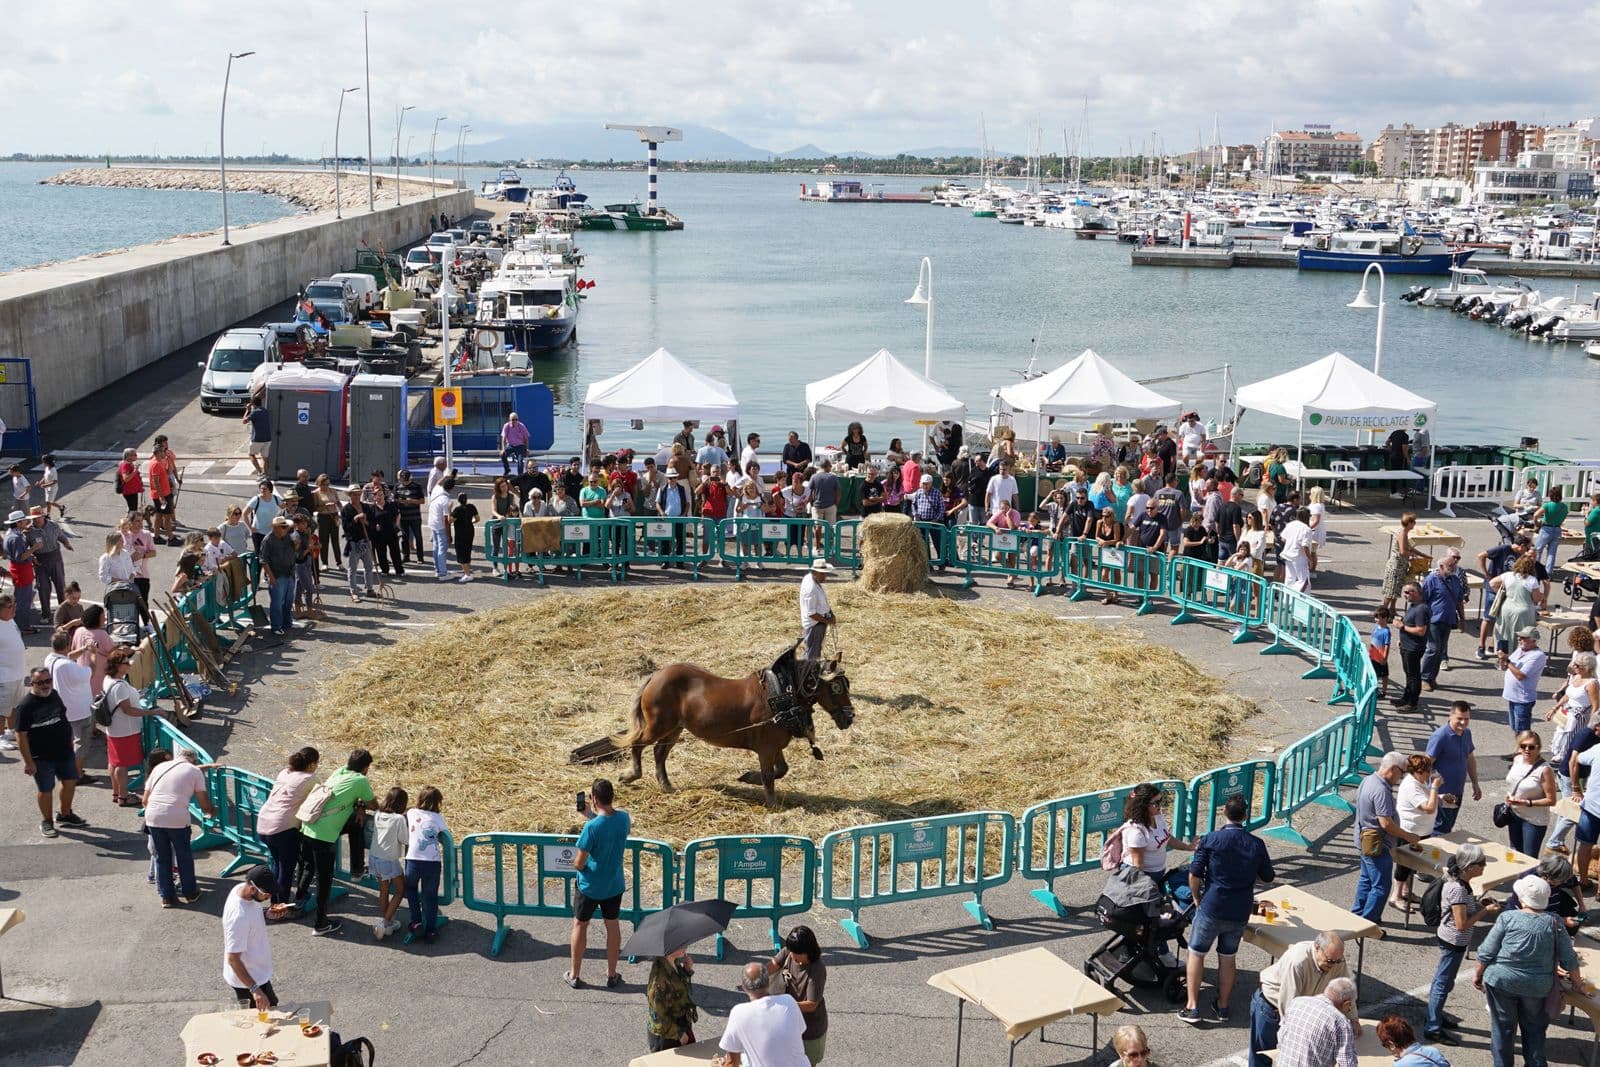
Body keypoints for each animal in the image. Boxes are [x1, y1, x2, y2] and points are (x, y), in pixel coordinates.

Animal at [582, 652, 857, 809]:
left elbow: (781, 770)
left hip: (675, 729)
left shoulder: (774, 746)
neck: (781, 693)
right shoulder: (766, 748)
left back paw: (666, 784)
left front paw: (748, 777)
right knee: (639, 744)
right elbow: (770, 776)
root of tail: (655, 676)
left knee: (660, 754)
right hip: (658, 725)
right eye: (836, 687)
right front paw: (772, 803)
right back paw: (631, 775)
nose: (849, 717)